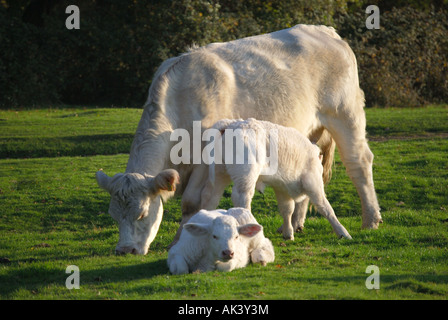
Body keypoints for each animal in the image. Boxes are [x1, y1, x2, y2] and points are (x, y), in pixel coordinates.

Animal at [201, 119, 352, 241]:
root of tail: (231, 124)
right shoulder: (313, 184)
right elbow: (326, 208)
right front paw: (343, 233)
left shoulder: (281, 187)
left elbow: (287, 209)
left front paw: (288, 233)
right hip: (246, 176)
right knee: (242, 199)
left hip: (220, 176)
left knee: (210, 198)